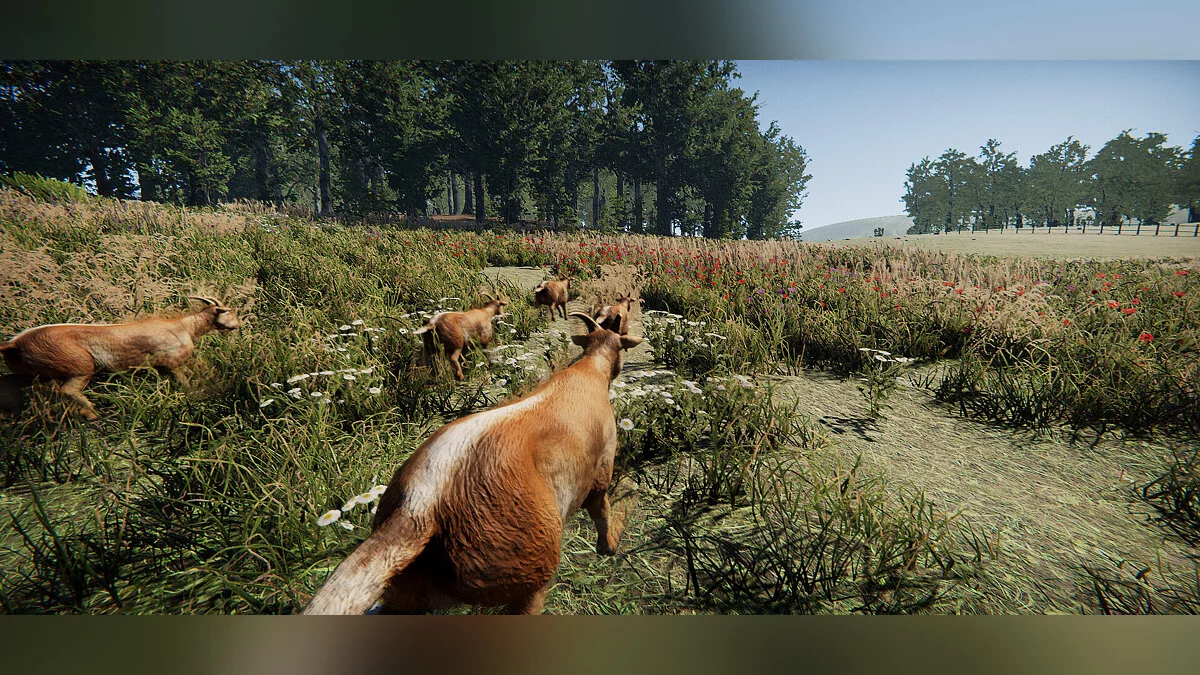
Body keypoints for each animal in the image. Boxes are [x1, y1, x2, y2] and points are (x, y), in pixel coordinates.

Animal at [0, 296, 240, 420]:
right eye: (228, 312)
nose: (238, 326)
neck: (185, 326)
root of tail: (15, 342)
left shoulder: (161, 368)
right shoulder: (172, 363)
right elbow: (186, 384)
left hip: (30, 373)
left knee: (9, 385)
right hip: (79, 366)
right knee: (68, 390)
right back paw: (93, 413)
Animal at [303, 312, 643, 615]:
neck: (591, 369)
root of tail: (420, 506)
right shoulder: (603, 463)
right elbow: (601, 508)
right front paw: (608, 549)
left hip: (408, 591)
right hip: (527, 563)